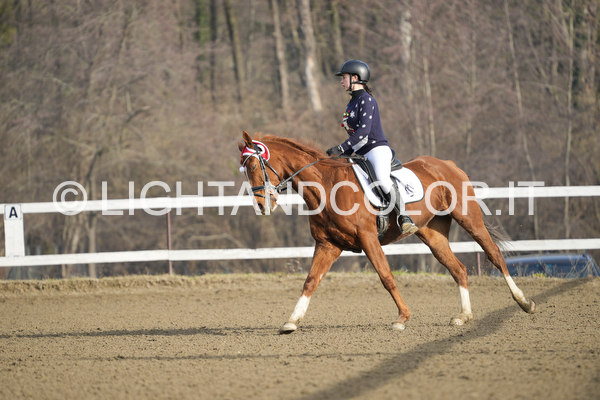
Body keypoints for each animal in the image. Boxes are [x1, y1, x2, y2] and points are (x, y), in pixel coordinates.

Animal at [238, 131, 536, 334]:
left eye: (253, 166)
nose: (262, 206)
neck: (327, 185)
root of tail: (446, 163)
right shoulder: (327, 245)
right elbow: (311, 281)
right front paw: (291, 321)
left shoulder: (368, 239)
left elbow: (386, 277)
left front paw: (402, 318)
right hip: (432, 233)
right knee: (458, 269)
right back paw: (464, 316)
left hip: (469, 218)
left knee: (494, 255)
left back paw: (525, 303)